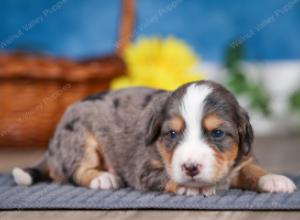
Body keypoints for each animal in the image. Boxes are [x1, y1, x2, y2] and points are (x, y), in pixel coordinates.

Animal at [12, 81, 296, 196]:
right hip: (81, 137)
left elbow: (253, 169)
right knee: (75, 171)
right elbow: (168, 176)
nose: (190, 168)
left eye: (217, 133)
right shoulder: (143, 168)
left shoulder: (241, 158)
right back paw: (103, 178)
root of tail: (52, 145)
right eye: (172, 134)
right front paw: (191, 186)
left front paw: (275, 179)